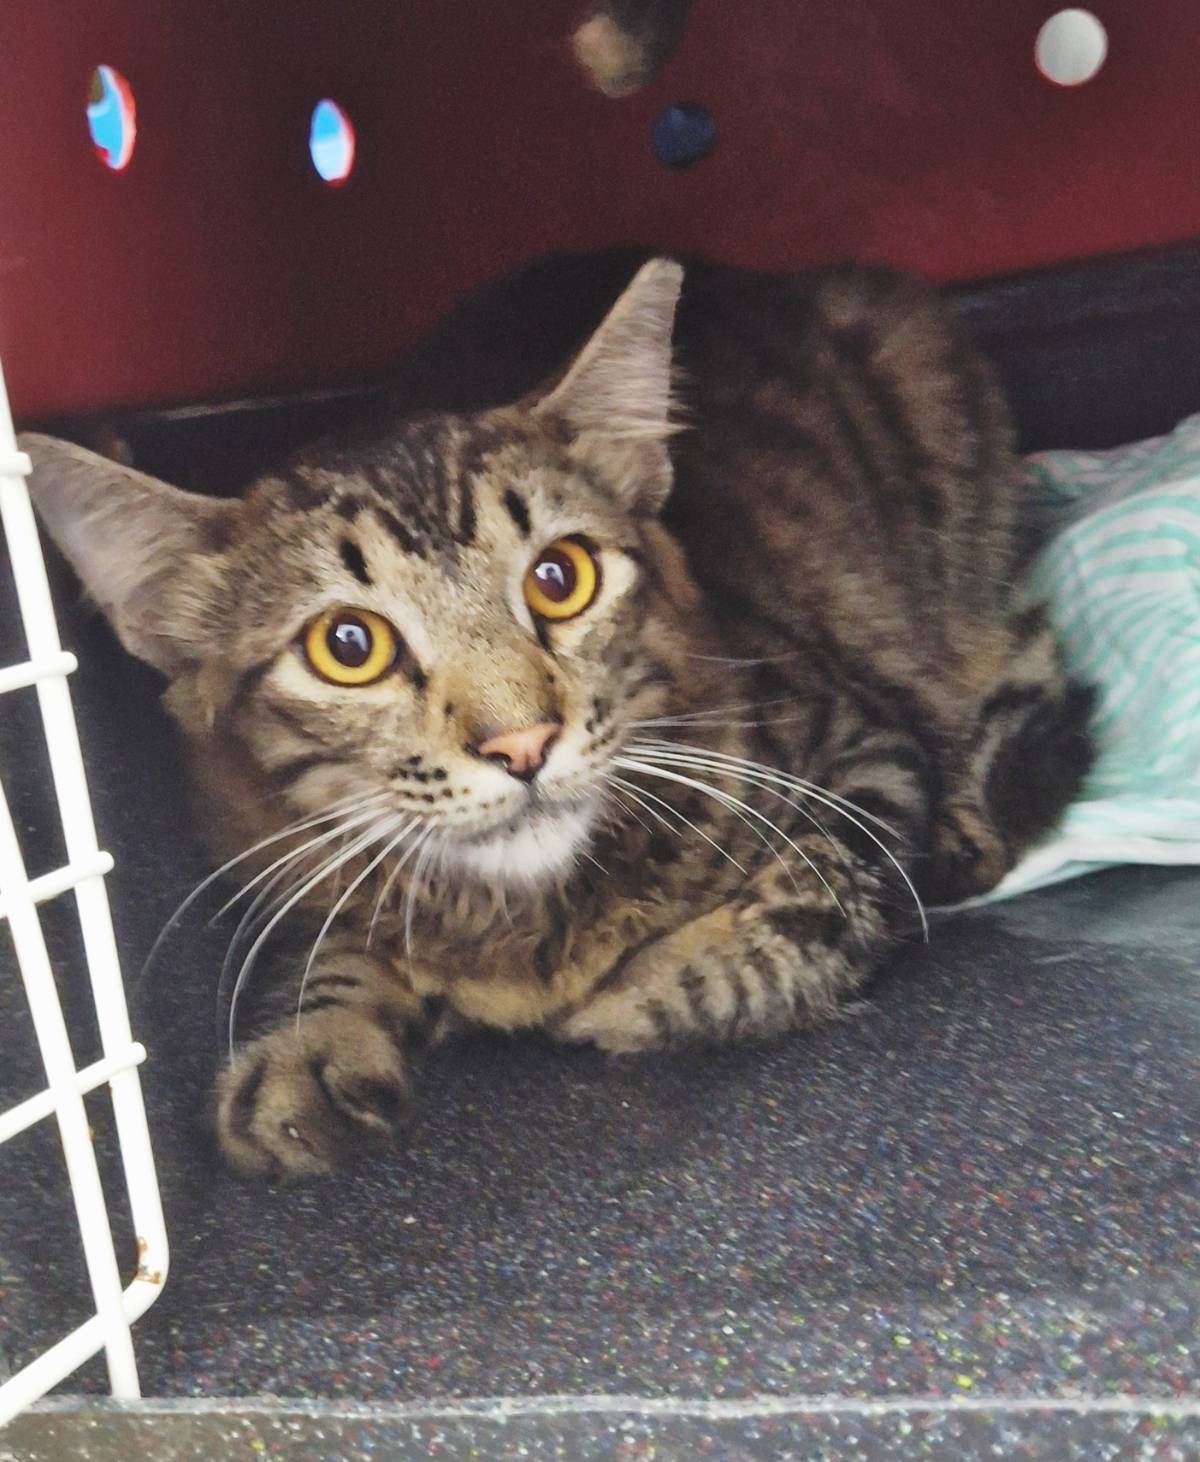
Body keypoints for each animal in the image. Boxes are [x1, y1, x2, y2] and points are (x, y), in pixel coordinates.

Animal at [22, 257, 1093, 1180]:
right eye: (348, 645)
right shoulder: (286, 863)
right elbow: (335, 951)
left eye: (559, 577)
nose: (521, 743)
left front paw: (645, 991)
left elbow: (821, 883)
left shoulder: (858, 741)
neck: (527, 917)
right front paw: (307, 1050)